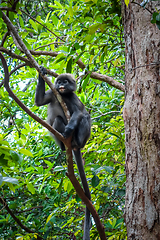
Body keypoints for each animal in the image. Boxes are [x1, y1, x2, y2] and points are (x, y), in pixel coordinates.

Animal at [35, 66, 92, 240]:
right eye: (59, 81)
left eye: (65, 82)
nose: (60, 84)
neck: (64, 95)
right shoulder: (54, 93)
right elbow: (39, 102)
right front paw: (41, 72)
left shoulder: (73, 97)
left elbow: (79, 113)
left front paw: (69, 128)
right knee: (57, 119)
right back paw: (63, 143)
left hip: (82, 139)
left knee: (85, 116)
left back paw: (74, 139)